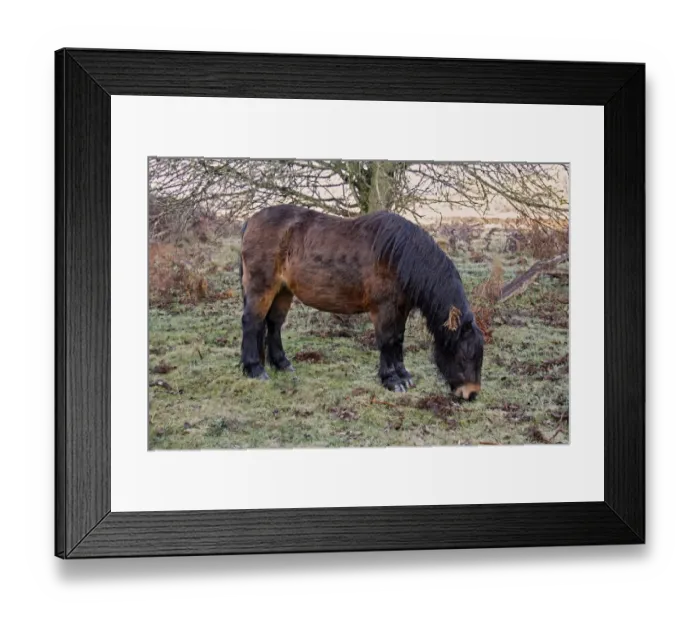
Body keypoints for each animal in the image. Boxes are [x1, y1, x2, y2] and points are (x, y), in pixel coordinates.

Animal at [238, 204, 484, 401]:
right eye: (463, 355)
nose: (471, 394)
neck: (398, 256)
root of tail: (251, 221)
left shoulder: (400, 309)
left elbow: (398, 339)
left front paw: (403, 375)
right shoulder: (384, 309)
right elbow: (386, 341)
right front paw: (392, 380)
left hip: (283, 291)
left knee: (273, 324)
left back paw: (281, 364)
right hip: (262, 288)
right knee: (252, 323)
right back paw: (255, 369)